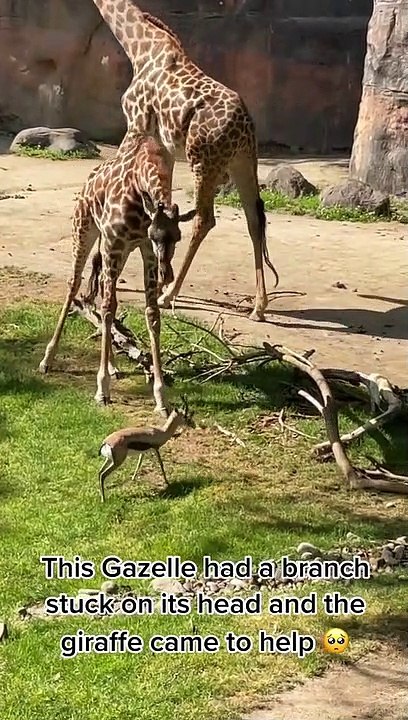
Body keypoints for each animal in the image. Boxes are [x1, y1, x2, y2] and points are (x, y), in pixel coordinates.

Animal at [38, 132, 195, 409]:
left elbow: (151, 313)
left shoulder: (143, 249)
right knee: (76, 284)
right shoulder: (116, 243)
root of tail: (91, 177)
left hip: (119, 252)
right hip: (86, 231)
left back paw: (112, 365)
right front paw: (102, 390)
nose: (168, 275)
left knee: (103, 289)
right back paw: (48, 360)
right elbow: (108, 307)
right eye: (155, 235)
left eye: (178, 237)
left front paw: (160, 396)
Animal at [90, 1, 279, 322]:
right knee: (255, 219)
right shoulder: (162, 145)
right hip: (243, 162)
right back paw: (258, 307)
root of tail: (246, 125)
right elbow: (160, 204)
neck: (139, 46)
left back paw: (169, 295)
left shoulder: (136, 123)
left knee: (205, 219)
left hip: (204, 161)